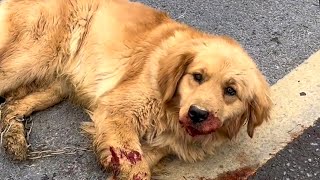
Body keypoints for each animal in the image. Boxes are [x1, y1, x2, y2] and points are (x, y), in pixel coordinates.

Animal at [0, 0, 272, 179]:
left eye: (231, 91)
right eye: (197, 76)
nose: (197, 114)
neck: (170, 108)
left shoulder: (160, 147)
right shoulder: (117, 112)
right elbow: (136, 168)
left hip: (58, 81)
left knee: (11, 106)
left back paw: (15, 140)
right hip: (33, 57)